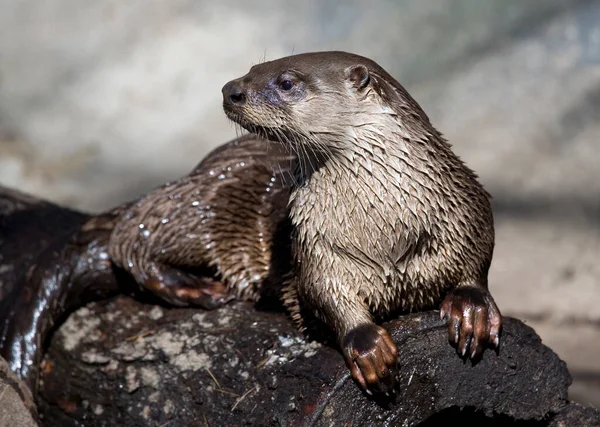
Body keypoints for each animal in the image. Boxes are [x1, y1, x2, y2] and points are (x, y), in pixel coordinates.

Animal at [220, 51, 502, 396]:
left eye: (286, 83)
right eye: (252, 69)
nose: (231, 90)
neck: (385, 238)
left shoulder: (463, 201)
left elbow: (480, 244)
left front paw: (471, 307)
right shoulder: (314, 244)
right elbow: (321, 291)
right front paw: (368, 345)